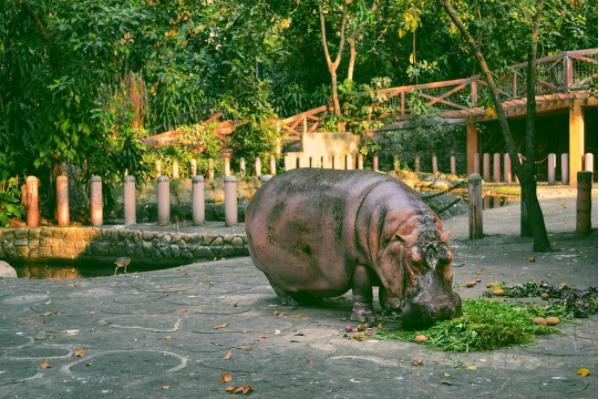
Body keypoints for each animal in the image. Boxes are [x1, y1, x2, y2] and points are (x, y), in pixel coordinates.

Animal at [246, 169, 462, 328]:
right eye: (413, 261)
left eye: (450, 257)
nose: (441, 310)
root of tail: (256, 196)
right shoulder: (359, 261)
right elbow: (362, 289)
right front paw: (367, 320)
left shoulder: (387, 261)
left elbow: (387, 287)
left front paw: (393, 309)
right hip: (269, 267)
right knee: (279, 286)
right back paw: (293, 302)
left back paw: (316, 299)